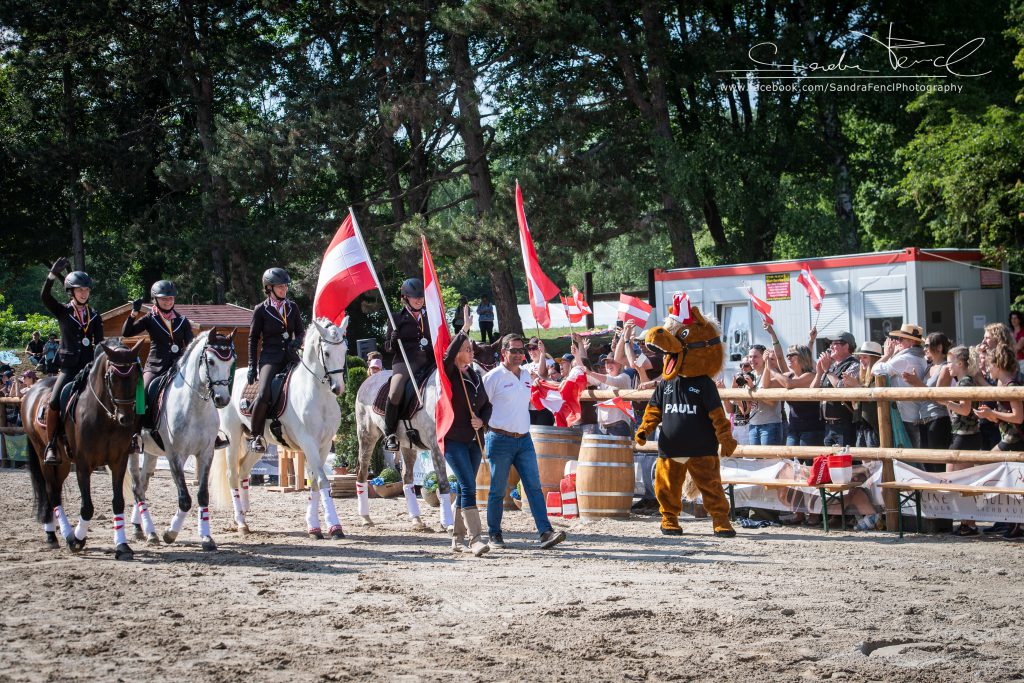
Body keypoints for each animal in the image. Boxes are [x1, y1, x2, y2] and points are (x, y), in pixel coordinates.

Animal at [21, 342, 144, 561]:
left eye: (136, 376)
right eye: (111, 377)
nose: (126, 419)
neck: (105, 416)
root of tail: (32, 390)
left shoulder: (118, 461)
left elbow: (118, 502)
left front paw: (122, 546)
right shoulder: (83, 465)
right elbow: (87, 507)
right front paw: (76, 540)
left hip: (62, 463)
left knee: (56, 491)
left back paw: (55, 534)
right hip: (43, 455)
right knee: (51, 492)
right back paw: (58, 535)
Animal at [125, 329, 234, 548]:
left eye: (231, 362)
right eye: (210, 361)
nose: (222, 399)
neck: (195, 406)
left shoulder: (205, 453)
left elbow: (202, 495)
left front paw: (206, 537)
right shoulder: (175, 455)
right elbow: (185, 499)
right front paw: (170, 533)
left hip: (150, 452)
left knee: (143, 484)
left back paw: (142, 529)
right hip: (132, 450)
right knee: (136, 488)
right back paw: (148, 532)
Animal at [211, 319, 348, 540]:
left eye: (344, 350)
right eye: (326, 353)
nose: (338, 388)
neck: (318, 395)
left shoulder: (325, 444)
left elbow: (315, 482)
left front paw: (314, 527)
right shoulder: (309, 443)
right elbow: (323, 481)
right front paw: (335, 527)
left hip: (257, 443)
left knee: (243, 469)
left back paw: (243, 514)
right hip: (232, 437)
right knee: (232, 474)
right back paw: (241, 523)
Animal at [356, 370, 452, 532]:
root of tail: (369, 379)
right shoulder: (437, 447)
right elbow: (444, 483)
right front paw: (449, 524)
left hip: (408, 445)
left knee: (407, 478)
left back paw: (416, 520)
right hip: (367, 435)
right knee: (362, 473)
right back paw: (365, 519)